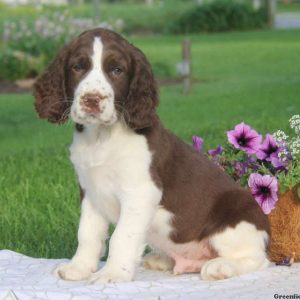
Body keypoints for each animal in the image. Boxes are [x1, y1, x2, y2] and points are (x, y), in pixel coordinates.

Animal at [34, 28, 270, 284]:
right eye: (78, 67)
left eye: (117, 70)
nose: (92, 99)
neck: (102, 137)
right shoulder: (90, 191)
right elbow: (87, 233)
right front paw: (78, 268)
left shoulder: (141, 192)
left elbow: (121, 237)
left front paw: (112, 274)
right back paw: (162, 259)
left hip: (235, 221)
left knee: (258, 259)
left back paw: (221, 266)